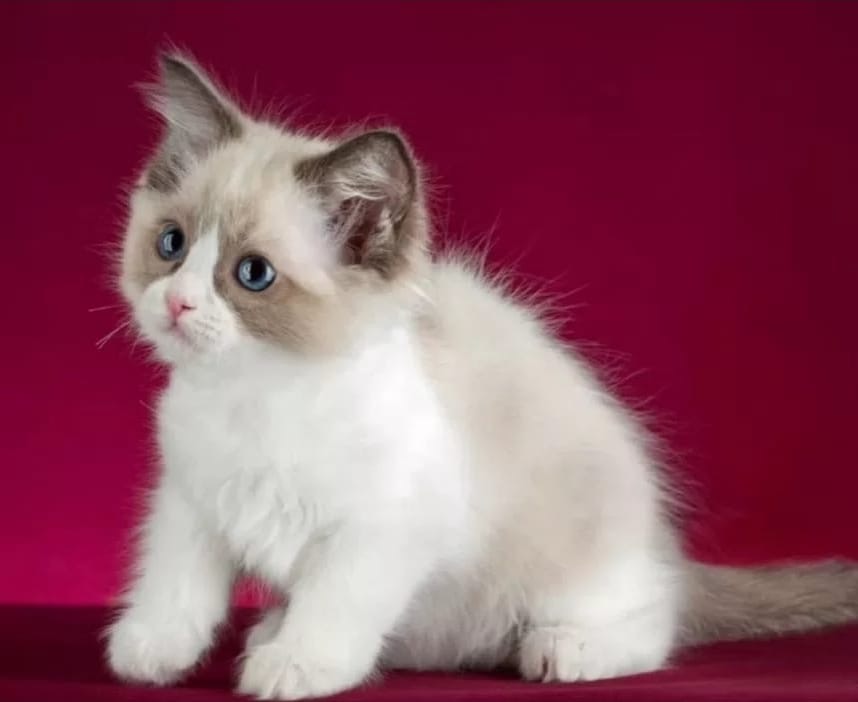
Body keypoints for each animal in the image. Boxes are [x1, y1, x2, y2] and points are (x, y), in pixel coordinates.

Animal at [105, 53, 858, 700]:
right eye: (171, 245)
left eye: (252, 275)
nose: (178, 304)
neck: (253, 392)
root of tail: (659, 547)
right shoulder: (190, 501)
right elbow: (175, 583)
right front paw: (149, 651)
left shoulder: (385, 527)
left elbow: (335, 599)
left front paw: (298, 664)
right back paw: (275, 629)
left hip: (579, 566)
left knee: (653, 621)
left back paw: (564, 649)